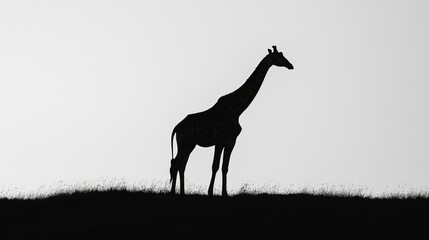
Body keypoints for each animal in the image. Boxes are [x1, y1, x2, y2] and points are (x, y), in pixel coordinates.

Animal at [169, 46, 292, 196]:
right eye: (279, 57)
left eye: (283, 54)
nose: (290, 65)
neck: (237, 110)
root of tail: (176, 127)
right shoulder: (219, 140)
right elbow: (215, 166)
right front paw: (210, 192)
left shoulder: (231, 141)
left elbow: (225, 167)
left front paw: (225, 193)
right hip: (185, 143)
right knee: (177, 164)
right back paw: (174, 192)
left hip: (189, 144)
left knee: (180, 164)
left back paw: (181, 192)